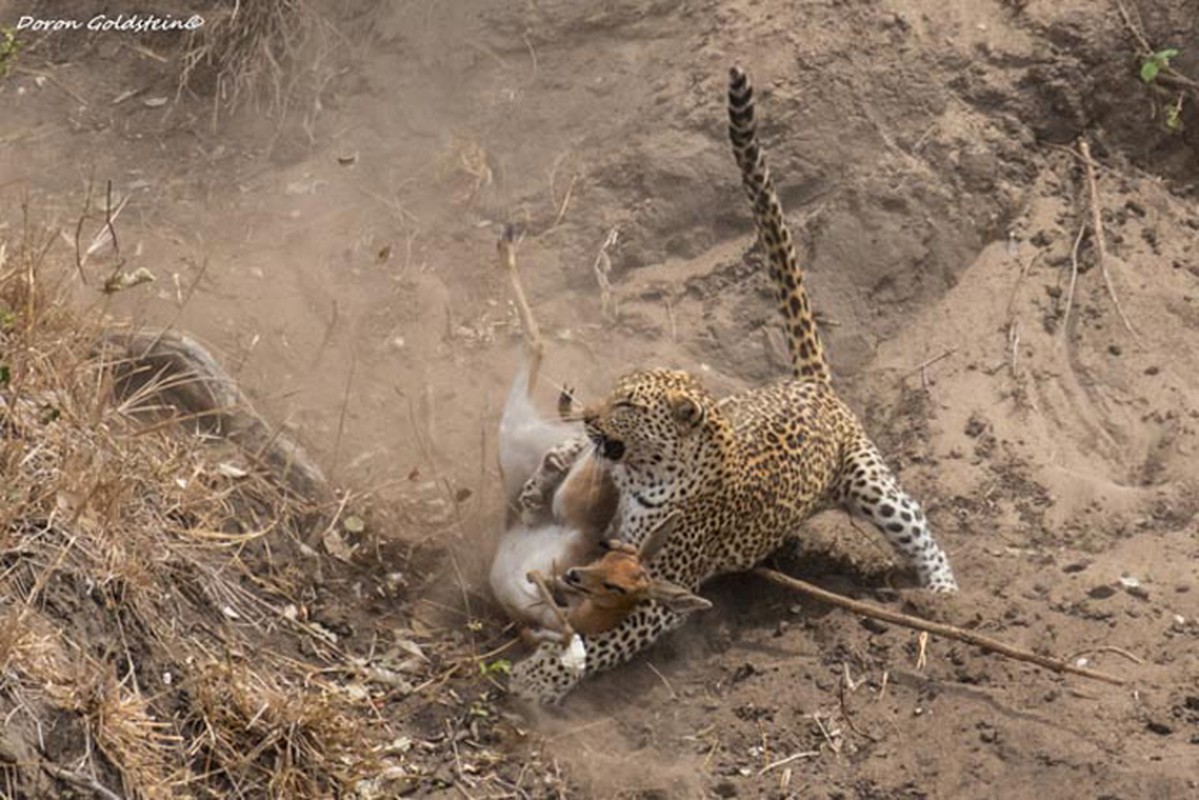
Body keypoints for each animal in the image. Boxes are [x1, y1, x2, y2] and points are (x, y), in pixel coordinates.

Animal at [510, 65, 959, 705]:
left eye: (628, 404)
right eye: (613, 393)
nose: (592, 414)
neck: (649, 473)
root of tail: (811, 385)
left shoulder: (661, 585)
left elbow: (604, 640)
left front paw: (541, 677)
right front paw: (544, 485)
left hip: (871, 482)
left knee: (917, 527)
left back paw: (944, 595)